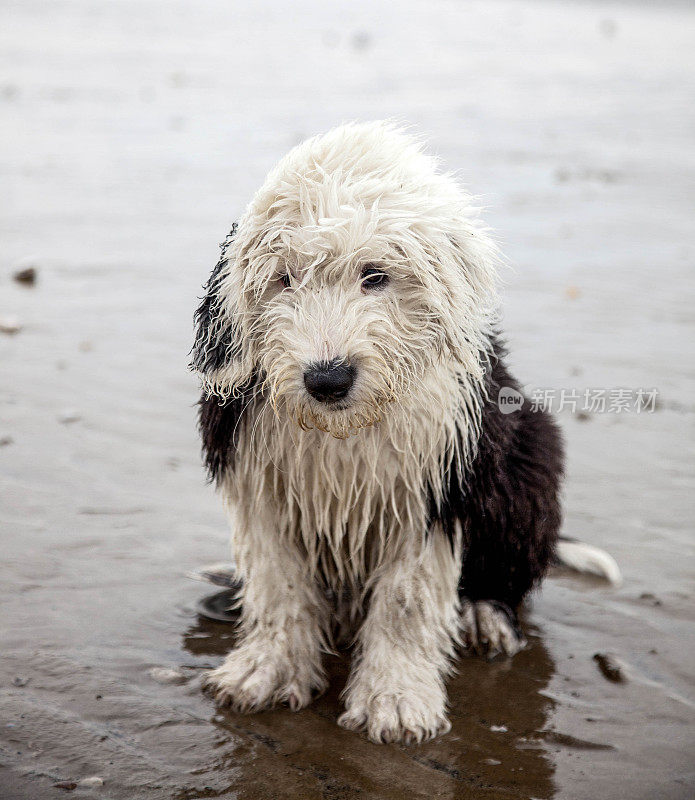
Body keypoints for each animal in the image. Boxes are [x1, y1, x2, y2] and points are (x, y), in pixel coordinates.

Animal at [190, 122, 600, 748]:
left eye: (375, 276)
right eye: (285, 279)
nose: (327, 378)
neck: (344, 429)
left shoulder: (433, 489)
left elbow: (407, 601)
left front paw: (396, 702)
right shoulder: (262, 482)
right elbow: (279, 585)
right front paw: (266, 673)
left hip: (526, 465)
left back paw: (484, 614)